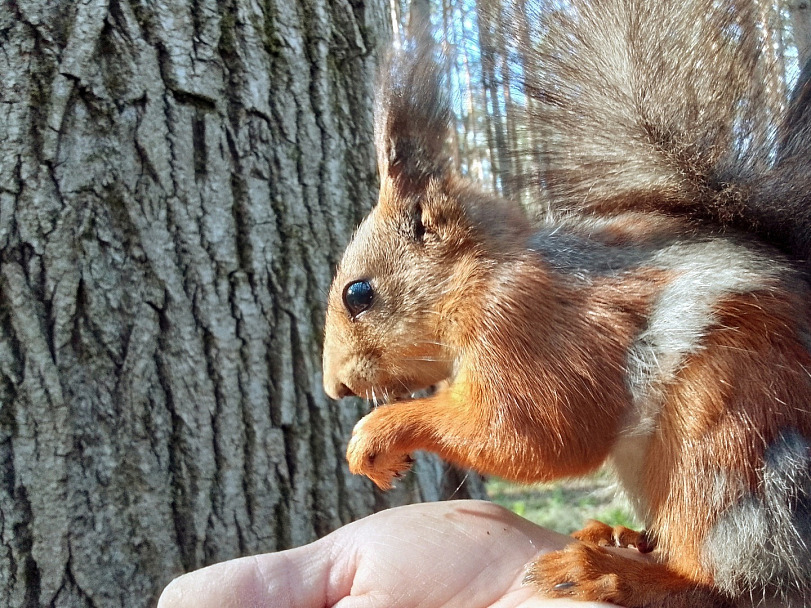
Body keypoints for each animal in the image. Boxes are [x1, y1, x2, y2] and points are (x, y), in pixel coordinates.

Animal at [320, 0, 811, 604]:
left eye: (357, 293)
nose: (334, 387)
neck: (480, 277)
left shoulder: (528, 328)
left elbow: (535, 437)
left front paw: (379, 432)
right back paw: (624, 537)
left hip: (730, 441)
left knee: (739, 583)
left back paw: (610, 572)